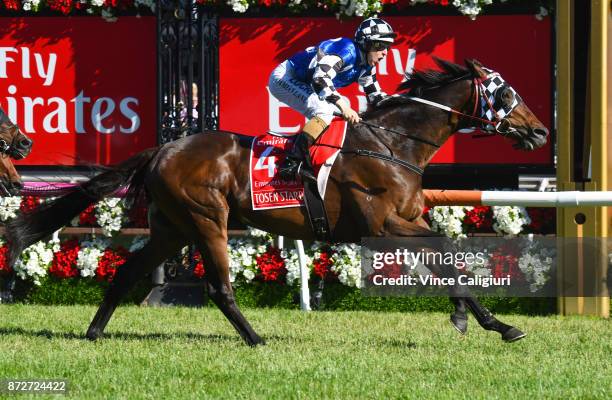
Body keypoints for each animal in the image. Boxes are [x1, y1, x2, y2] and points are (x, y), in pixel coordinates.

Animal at [5, 58, 548, 344]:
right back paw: (254, 338)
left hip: (171, 227)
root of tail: (163, 148)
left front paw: (483, 320)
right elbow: (446, 255)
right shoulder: (381, 223)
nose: (541, 131)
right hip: (206, 219)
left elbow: (442, 259)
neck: (393, 145)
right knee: (218, 288)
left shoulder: (404, 221)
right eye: (505, 93)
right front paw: (487, 322)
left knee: (124, 274)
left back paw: (95, 333)